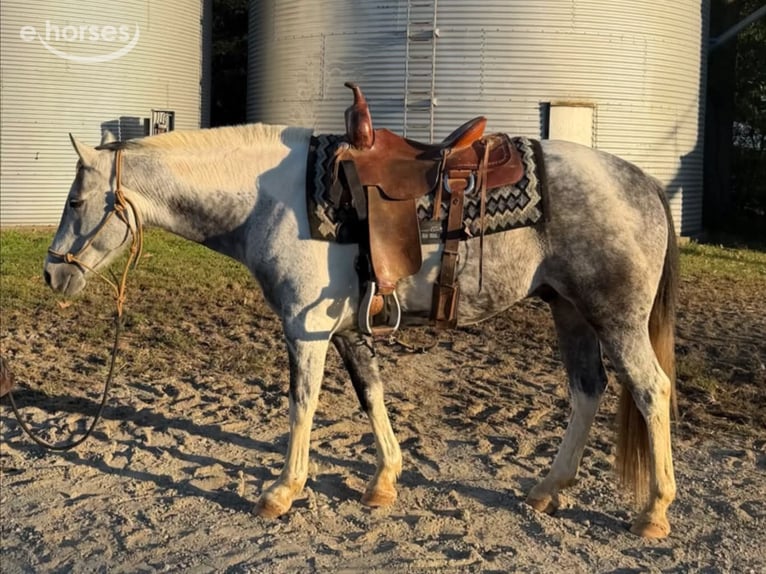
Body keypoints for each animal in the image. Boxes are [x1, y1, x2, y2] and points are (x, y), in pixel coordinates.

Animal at [43, 123, 679, 539]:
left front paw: (283, 490)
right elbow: (371, 394)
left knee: (651, 391)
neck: (270, 201)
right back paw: (548, 489)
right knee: (587, 390)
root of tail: (643, 182)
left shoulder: (305, 330)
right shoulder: (348, 328)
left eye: (75, 200)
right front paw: (385, 481)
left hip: (615, 317)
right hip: (569, 311)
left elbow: (301, 403)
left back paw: (653, 513)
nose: (52, 273)